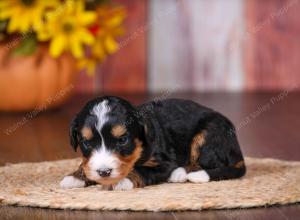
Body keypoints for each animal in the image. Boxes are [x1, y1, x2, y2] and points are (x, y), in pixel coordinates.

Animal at [59, 96, 245, 191]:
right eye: (86, 143)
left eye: (123, 140)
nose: (104, 172)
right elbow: (85, 164)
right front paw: (75, 177)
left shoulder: (164, 162)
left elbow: (140, 170)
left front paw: (122, 181)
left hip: (207, 133)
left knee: (207, 163)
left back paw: (179, 173)